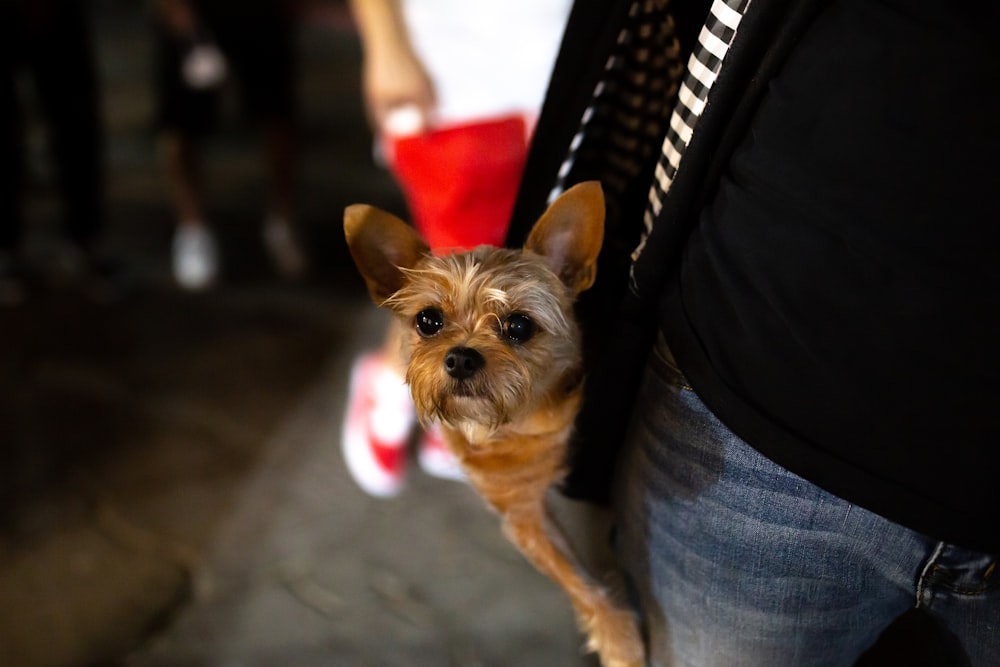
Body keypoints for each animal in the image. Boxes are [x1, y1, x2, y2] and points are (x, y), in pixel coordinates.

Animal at [342, 183, 640, 667]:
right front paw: (619, 639)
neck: (521, 421)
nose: (461, 357)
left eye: (518, 325)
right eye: (428, 320)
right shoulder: (522, 515)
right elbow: (577, 580)